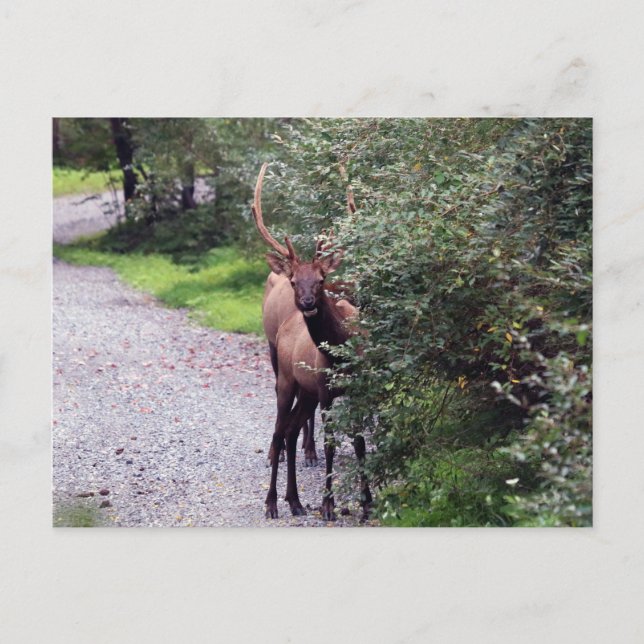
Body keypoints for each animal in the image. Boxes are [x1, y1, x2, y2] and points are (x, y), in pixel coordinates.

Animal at [251, 162, 371, 521]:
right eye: (294, 280)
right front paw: (329, 504)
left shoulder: (356, 389)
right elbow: (332, 443)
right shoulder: (325, 390)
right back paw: (272, 502)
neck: (343, 353)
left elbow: (359, 443)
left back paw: (295, 500)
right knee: (280, 431)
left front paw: (366, 502)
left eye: (322, 278)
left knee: (291, 430)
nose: (306, 302)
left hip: (305, 392)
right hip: (288, 381)